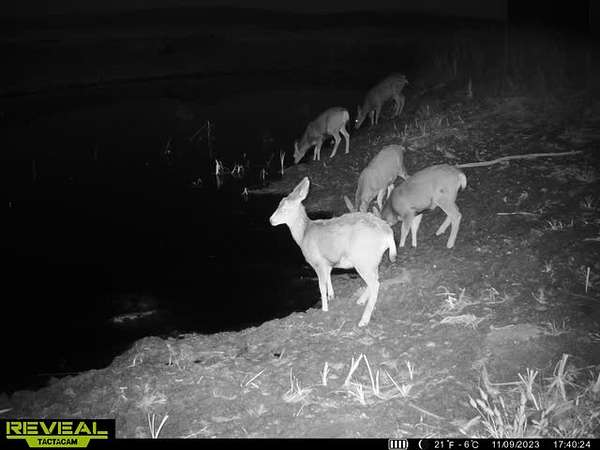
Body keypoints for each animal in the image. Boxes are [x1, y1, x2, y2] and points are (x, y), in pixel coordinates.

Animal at [270, 177, 396, 327]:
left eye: (285, 209)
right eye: (279, 204)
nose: (271, 220)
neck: (304, 235)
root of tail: (388, 233)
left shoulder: (317, 261)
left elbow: (321, 286)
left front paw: (324, 309)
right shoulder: (327, 261)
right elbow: (328, 277)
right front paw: (331, 296)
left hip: (363, 259)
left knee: (375, 283)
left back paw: (364, 319)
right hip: (373, 259)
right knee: (376, 279)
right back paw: (360, 301)